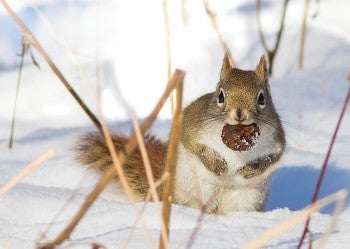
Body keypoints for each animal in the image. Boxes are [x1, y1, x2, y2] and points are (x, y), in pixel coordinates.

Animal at [75, 54, 286, 214]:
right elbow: (194, 146)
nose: (240, 114)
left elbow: (274, 157)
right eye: (220, 96)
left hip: (247, 199)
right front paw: (215, 162)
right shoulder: (191, 127)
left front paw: (252, 169)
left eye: (262, 98)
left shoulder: (276, 138)